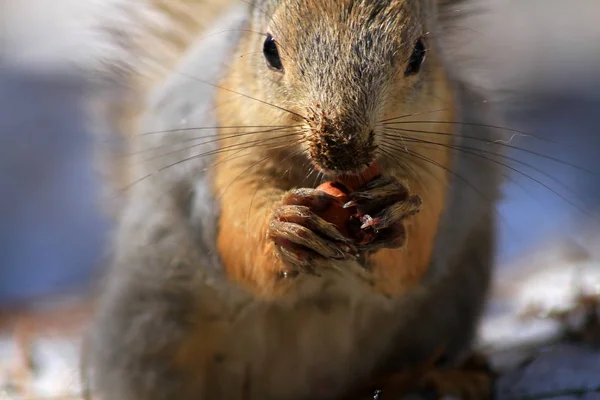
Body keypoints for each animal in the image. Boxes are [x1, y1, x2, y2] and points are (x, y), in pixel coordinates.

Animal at [88, 0, 502, 400]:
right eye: (269, 50)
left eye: (419, 54)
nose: (343, 149)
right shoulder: (222, 153)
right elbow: (235, 232)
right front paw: (285, 225)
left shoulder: (442, 145)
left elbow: (417, 251)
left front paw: (393, 207)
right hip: (153, 323)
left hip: (445, 310)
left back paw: (446, 376)